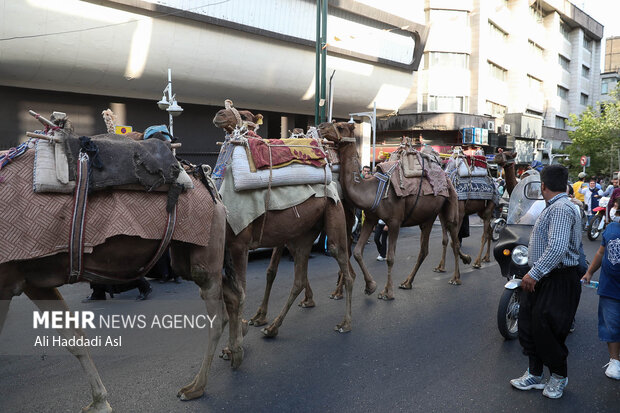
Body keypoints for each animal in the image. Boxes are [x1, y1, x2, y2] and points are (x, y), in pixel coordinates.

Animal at [0, 115, 230, 408]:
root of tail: (206, 179)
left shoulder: (5, 279)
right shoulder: (31, 278)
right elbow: (73, 337)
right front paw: (99, 402)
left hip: (205, 248)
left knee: (217, 315)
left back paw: (194, 387)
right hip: (187, 256)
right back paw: (234, 355)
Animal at [211, 102, 356, 334]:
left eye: (244, 115)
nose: (220, 114)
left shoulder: (240, 244)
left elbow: (242, 289)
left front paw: (240, 331)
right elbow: (254, 280)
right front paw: (255, 319)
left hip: (334, 214)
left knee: (341, 258)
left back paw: (346, 321)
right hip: (304, 233)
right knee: (299, 278)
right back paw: (273, 326)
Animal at [318, 120, 462, 298]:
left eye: (340, 126)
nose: (321, 127)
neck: (372, 190)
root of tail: (446, 177)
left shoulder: (394, 221)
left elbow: (391, 257)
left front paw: (387, 292)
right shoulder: (371, 218)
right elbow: (357, 251)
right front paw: (370, 286)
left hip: (449, 205)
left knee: (454, 241)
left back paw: (455, 278)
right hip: (430, 216)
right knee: (425, 249)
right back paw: (407, 282)